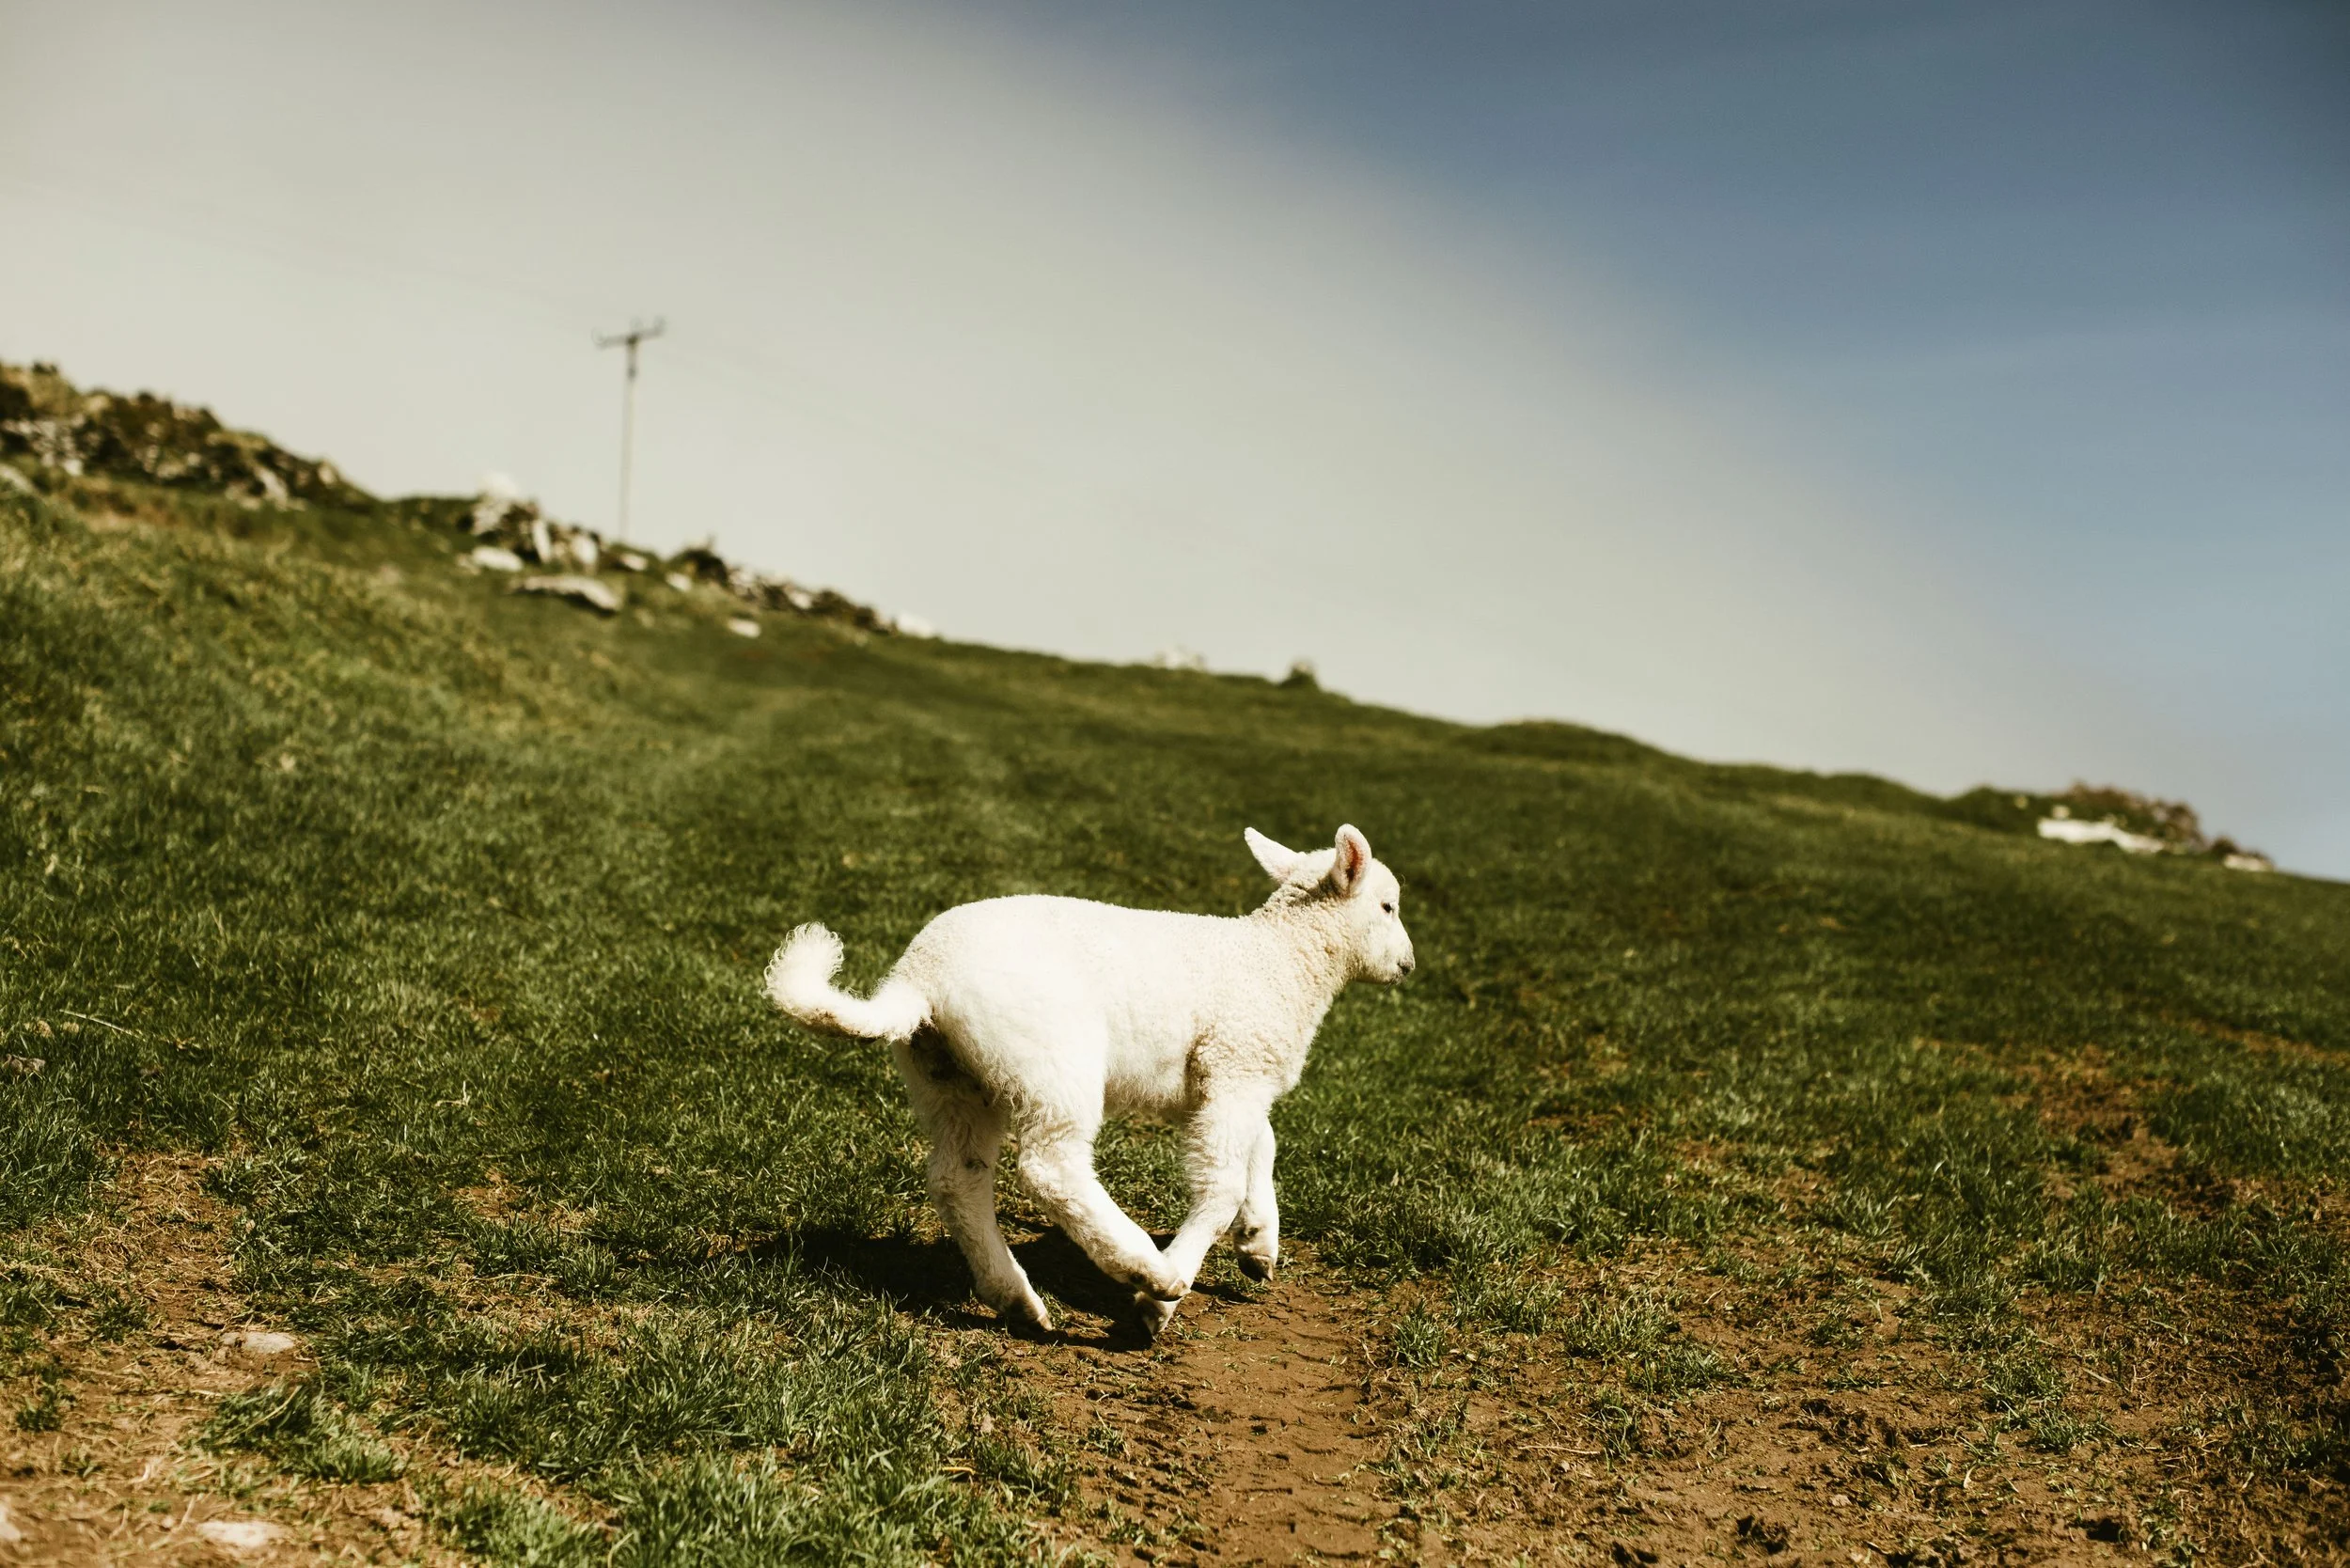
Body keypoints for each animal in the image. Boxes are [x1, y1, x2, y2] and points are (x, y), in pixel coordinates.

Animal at [764, 824, 1414, 1338]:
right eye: (1387, 907)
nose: (1408, 966)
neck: (1283, 960)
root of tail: (916, 982)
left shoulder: (1227, 1079)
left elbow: (1265, 1144)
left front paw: (1259, 1243)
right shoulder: (1235, 1065)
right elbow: (1221, 1185)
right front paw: (1160, 1304)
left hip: (949, 1080)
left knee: (957, 1179)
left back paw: (1016, 1298)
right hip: (1052, 1060)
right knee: (1051, 1169)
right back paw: (1148, 1268)